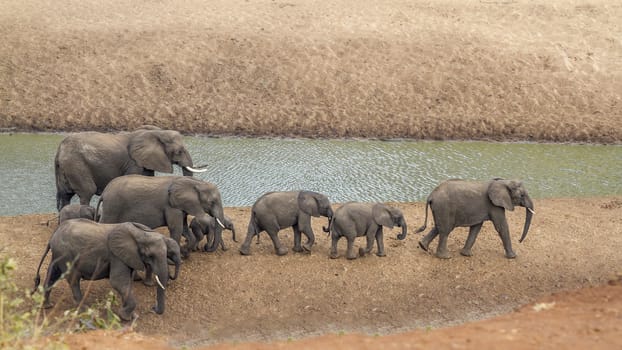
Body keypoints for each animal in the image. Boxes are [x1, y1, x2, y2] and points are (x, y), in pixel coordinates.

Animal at [54, 126, 206, 211]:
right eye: (179, 151)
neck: (156, 133)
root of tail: (59, 150)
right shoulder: (134, 163)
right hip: (77, 165)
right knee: (87, 191)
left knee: (66, 195)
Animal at [96, 175, 225, 258]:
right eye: (212, 202)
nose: (206, 249)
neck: (196, 182)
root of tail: (104, 193)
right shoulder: (171, 206)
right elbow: (176, 228)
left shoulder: (180, 206)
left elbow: (183, 228)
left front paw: (185, 253)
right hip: (112, 207)